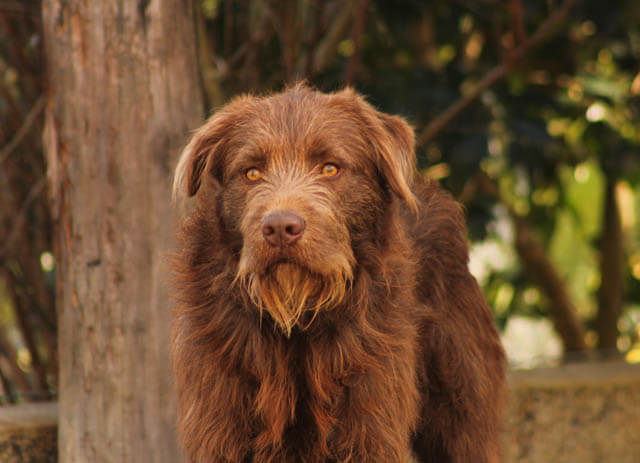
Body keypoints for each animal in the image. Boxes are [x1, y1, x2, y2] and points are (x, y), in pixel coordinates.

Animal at [170, 84, 504, 463]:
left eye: (330, 168)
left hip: (462, 409)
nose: (280, 228)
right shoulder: (219, 422)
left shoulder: (370, 424)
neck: (297, 321)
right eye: (252, 172)